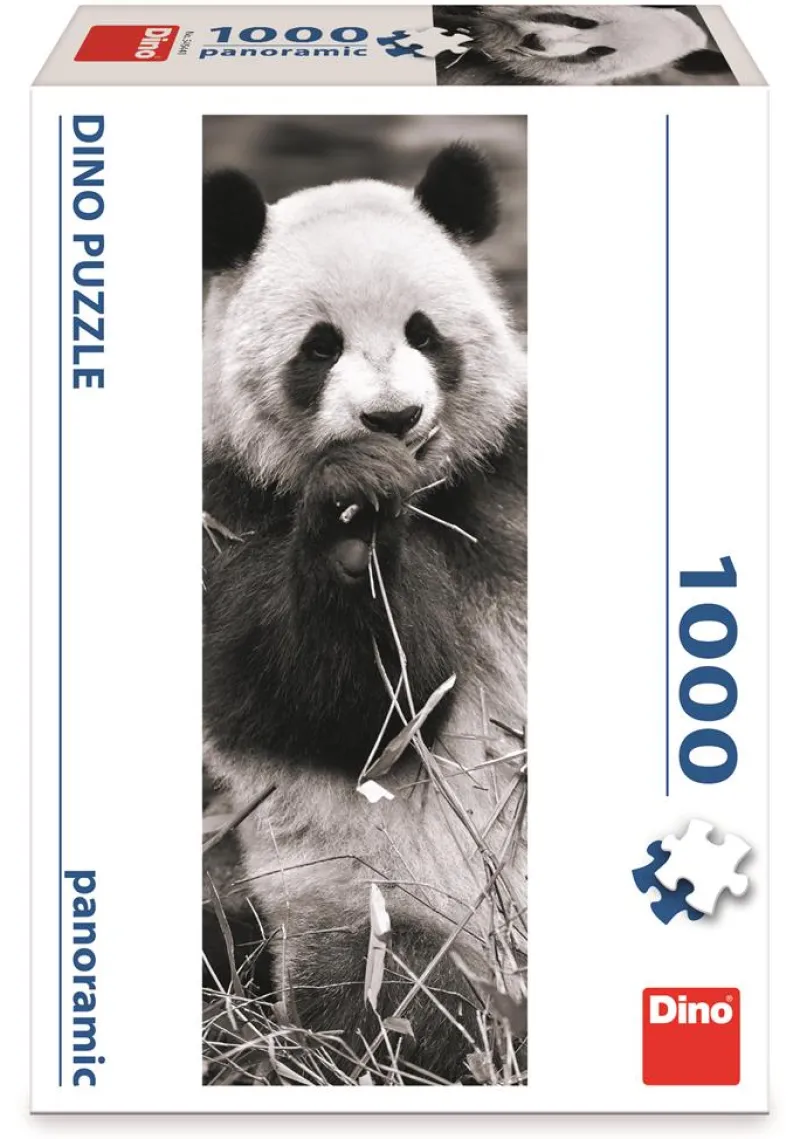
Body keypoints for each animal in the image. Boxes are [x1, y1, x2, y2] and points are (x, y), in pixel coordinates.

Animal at [202, 142, 527, 1084]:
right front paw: (354, 526)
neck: (430, 494)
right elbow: (348, 709)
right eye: (320, 346)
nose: (392, 417)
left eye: (425, 332)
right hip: (369, 899)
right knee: (406, 1001)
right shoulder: (225, 516)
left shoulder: (513, 475)